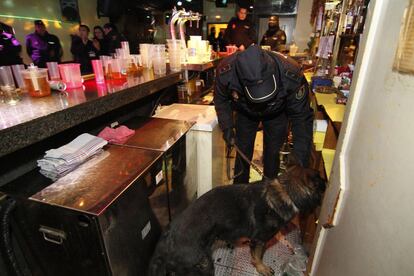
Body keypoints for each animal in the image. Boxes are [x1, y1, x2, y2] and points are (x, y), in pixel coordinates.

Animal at [149, 165, 326, 274]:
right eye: (320, 181)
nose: (327, 181)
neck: (285, 192)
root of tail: (165, 242)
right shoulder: (259, 240)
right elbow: (257, 257)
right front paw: (261, 268)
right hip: (204, 265)